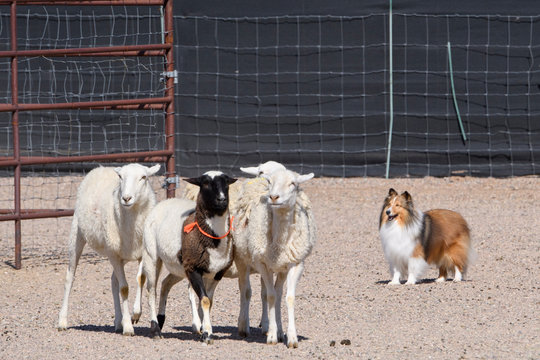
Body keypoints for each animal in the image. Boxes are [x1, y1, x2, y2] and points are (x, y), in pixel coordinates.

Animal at [58, 163, 161, 334]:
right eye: (120, 177)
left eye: (144, 177)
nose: (126, 198)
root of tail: (101, 167)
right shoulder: (113, 254)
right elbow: (124, 288)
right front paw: (128, 326)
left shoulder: (142, 252)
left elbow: (140, 278)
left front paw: (135, 313)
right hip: (78, 234)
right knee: (69, 278)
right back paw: (62, 321)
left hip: (121, 255)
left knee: (114, 281)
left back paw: (118, 321)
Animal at [141, 172, 236, 344]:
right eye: (205, 183)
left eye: (226, 183)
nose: (222, 199)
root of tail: (165, 202)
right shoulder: (193, 269)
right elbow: (204, 300)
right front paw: (207, 333)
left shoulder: (217, 273)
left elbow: (209, 301)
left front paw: (204, 330)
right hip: (151, 255)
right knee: (151, 290)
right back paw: (155, 328)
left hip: (179, 267)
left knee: (165, 283)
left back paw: (161, 319)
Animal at [233, 169, 316, 348]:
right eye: (270, 182)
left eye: (293, 183)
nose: (273, 197)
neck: (280, 241)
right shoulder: (262, 263)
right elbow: (269, 296)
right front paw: (271, 335)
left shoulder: (295, 263)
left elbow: (287, 297)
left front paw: (291, 337)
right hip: (242, 258)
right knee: (246, 290)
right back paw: (244, 325)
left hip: (280, 267)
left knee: (276, 293)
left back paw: (277, 329)